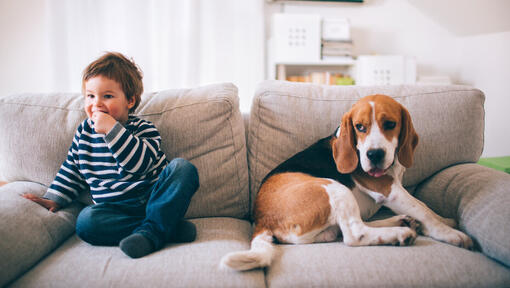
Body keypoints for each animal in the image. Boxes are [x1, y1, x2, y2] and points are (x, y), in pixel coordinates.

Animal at [220, 94, 474, 272]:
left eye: (390, 124)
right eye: (360, 127)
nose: (374, 155)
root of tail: (262, 221)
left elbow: (426, 207)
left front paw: (445, 220)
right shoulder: (390, 191)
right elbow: (424, 210)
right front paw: (450, 233)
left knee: (349, 229)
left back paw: (401, 222)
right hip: (334, 188)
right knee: (354, 235)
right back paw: (399, 233)